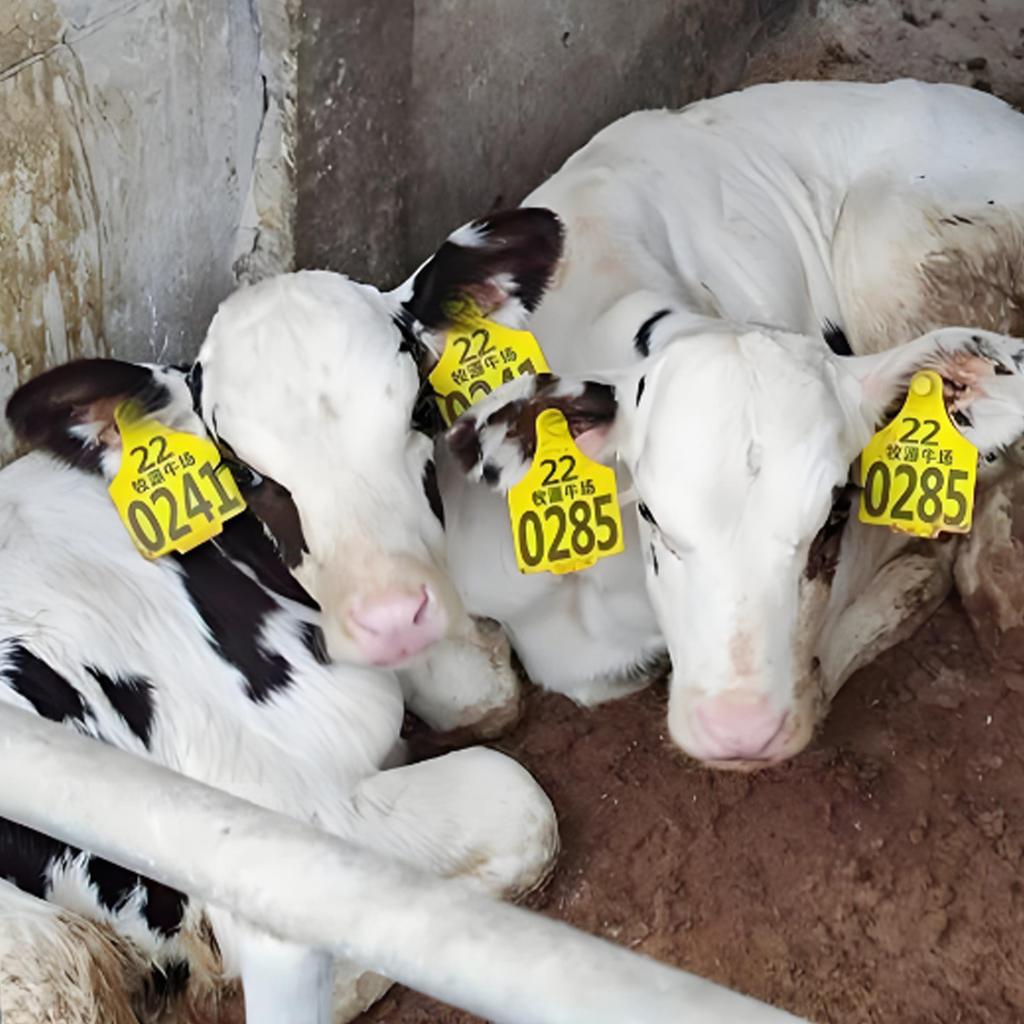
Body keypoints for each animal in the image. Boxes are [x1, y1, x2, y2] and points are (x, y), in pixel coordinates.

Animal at [0, 210, 566, 1024]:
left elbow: (486, 695)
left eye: (420, 410)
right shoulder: (283, 823)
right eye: (247, 474)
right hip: (41, 961)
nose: (392, 617)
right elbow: (518, 802)